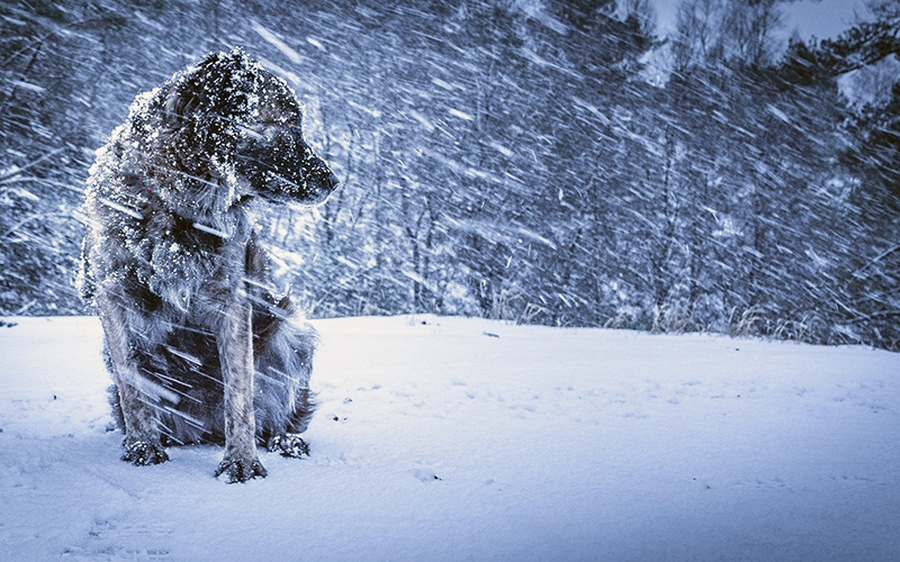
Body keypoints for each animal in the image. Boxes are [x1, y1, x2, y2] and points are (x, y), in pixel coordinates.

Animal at [76, 47, 338, 482]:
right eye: (288, 123)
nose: (334, 181)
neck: (174, 203)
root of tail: (204, 430)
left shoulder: (232, 301)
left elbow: (240, 392)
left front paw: (241, 460)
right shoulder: (114, 296)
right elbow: (132, 384)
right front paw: (142, 446)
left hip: (290, 330)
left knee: (274, 415)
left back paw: (284, 439)